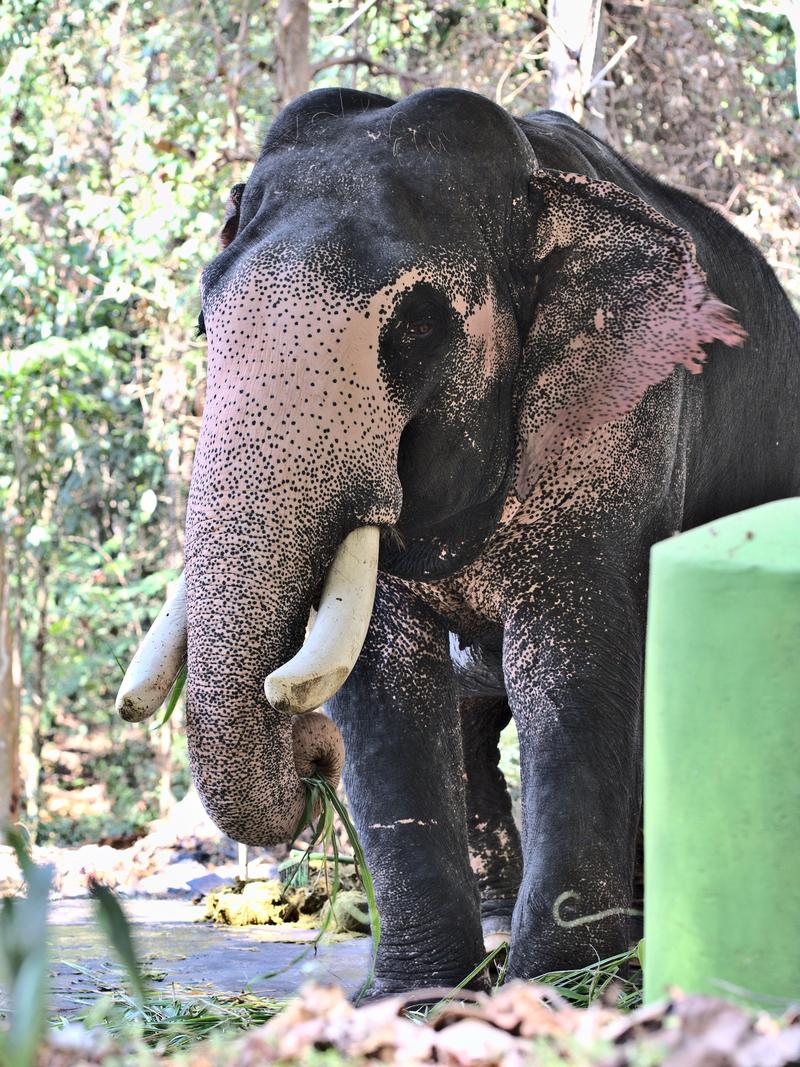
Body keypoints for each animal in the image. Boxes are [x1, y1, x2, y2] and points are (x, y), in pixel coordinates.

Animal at [117, 87, 800, 994]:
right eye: (204, 320)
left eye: (415, 327)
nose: (312, 756)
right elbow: (386, 679)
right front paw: (419, 994)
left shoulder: (628, 420)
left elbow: (571, 658)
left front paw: (561, 984)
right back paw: (502, 910)